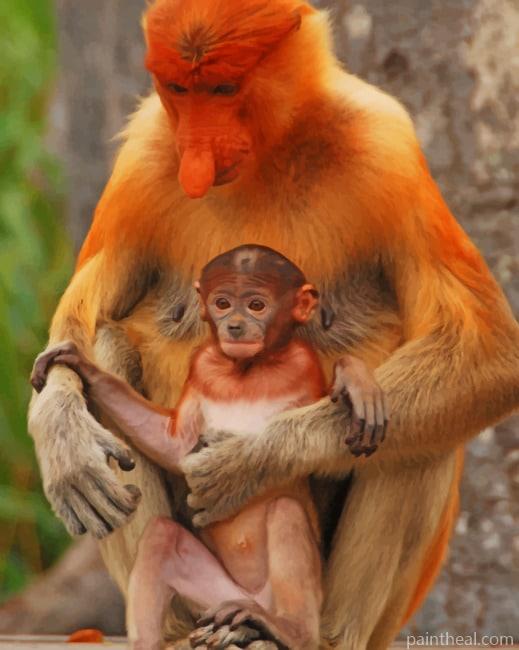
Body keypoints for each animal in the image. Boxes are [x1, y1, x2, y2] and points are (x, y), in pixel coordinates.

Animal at [35, 245, 389, 650]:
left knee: (285, 511)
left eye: (256, 305)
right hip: (219, 594)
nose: (233, 325)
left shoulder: (304, 362)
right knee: (163, 537)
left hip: (299, 595)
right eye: (222, 303)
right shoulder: (203, 364)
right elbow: (174, 446)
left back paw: (287, 630)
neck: (247, 370)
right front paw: (82, 368)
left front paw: (355, 381)